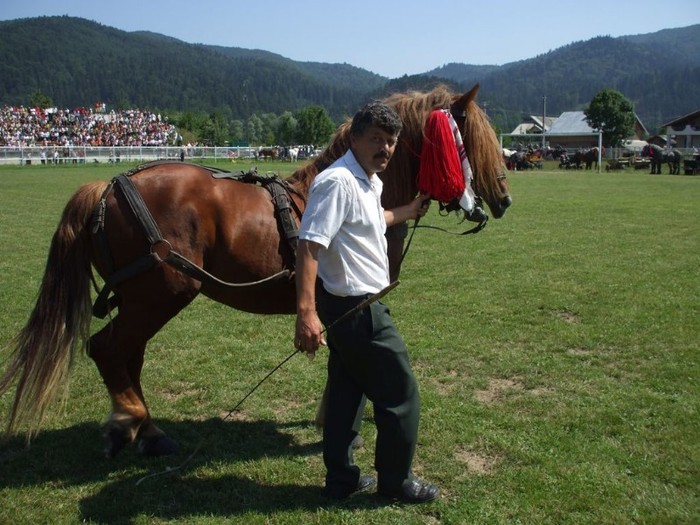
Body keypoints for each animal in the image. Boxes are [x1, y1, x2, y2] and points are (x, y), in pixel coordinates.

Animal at [1, 84, 516, 456]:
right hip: (161, 294)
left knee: (128, 355)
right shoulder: (351, 302)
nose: (503, 199)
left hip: (139, 300)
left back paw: (142, 429)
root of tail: (107, 186)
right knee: (107, 348)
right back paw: (133, 421)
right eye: (469, 141)